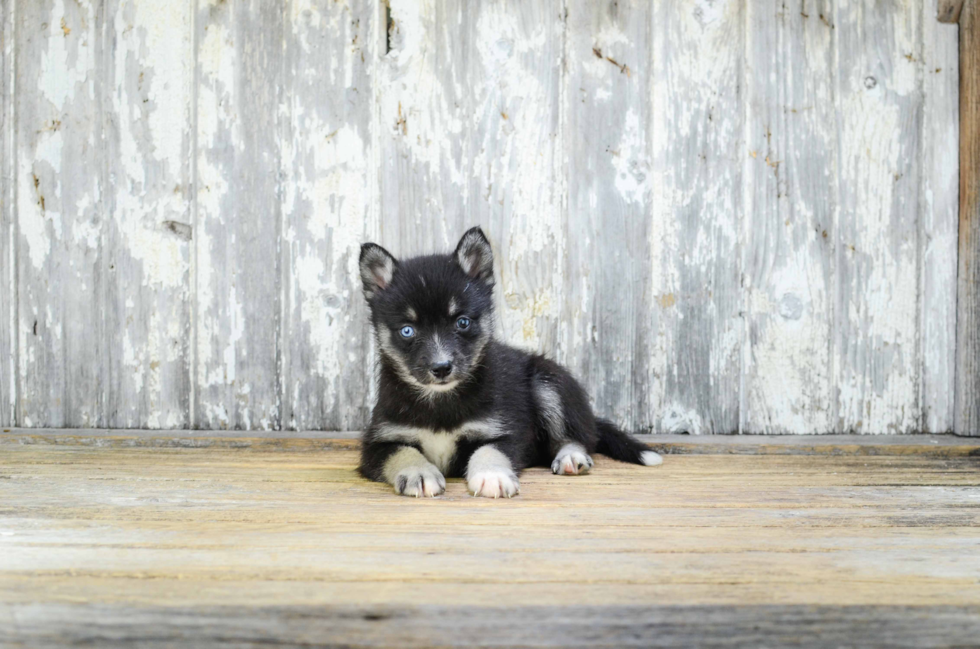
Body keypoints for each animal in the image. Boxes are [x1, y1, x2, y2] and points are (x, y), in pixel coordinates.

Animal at [356, 225, 664, 498]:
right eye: (407, 330)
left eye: (462, 322)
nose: (441, 368)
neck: (441, 403)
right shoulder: (378, 443)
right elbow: (403, 452)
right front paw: (419, 473)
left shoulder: (508, 432)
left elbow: (489, 449)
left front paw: (491, 475)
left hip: (548, 382)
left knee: (577, 437)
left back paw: (570, 457)